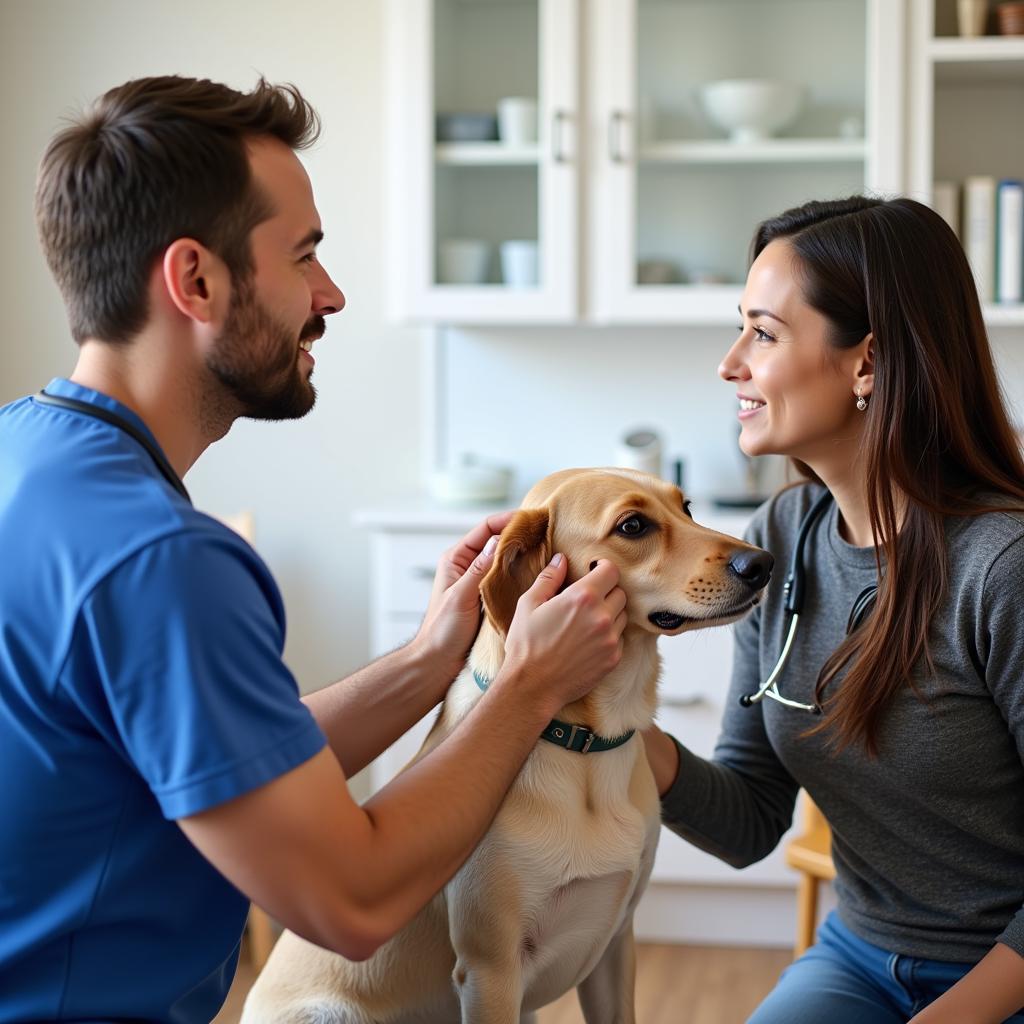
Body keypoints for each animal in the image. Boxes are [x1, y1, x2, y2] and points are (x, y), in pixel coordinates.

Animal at [241, 468, 770, 1024]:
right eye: (632, 525)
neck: (584, 746)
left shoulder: (616, 943)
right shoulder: (489, 970)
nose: (762, 563)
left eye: (686, 508)